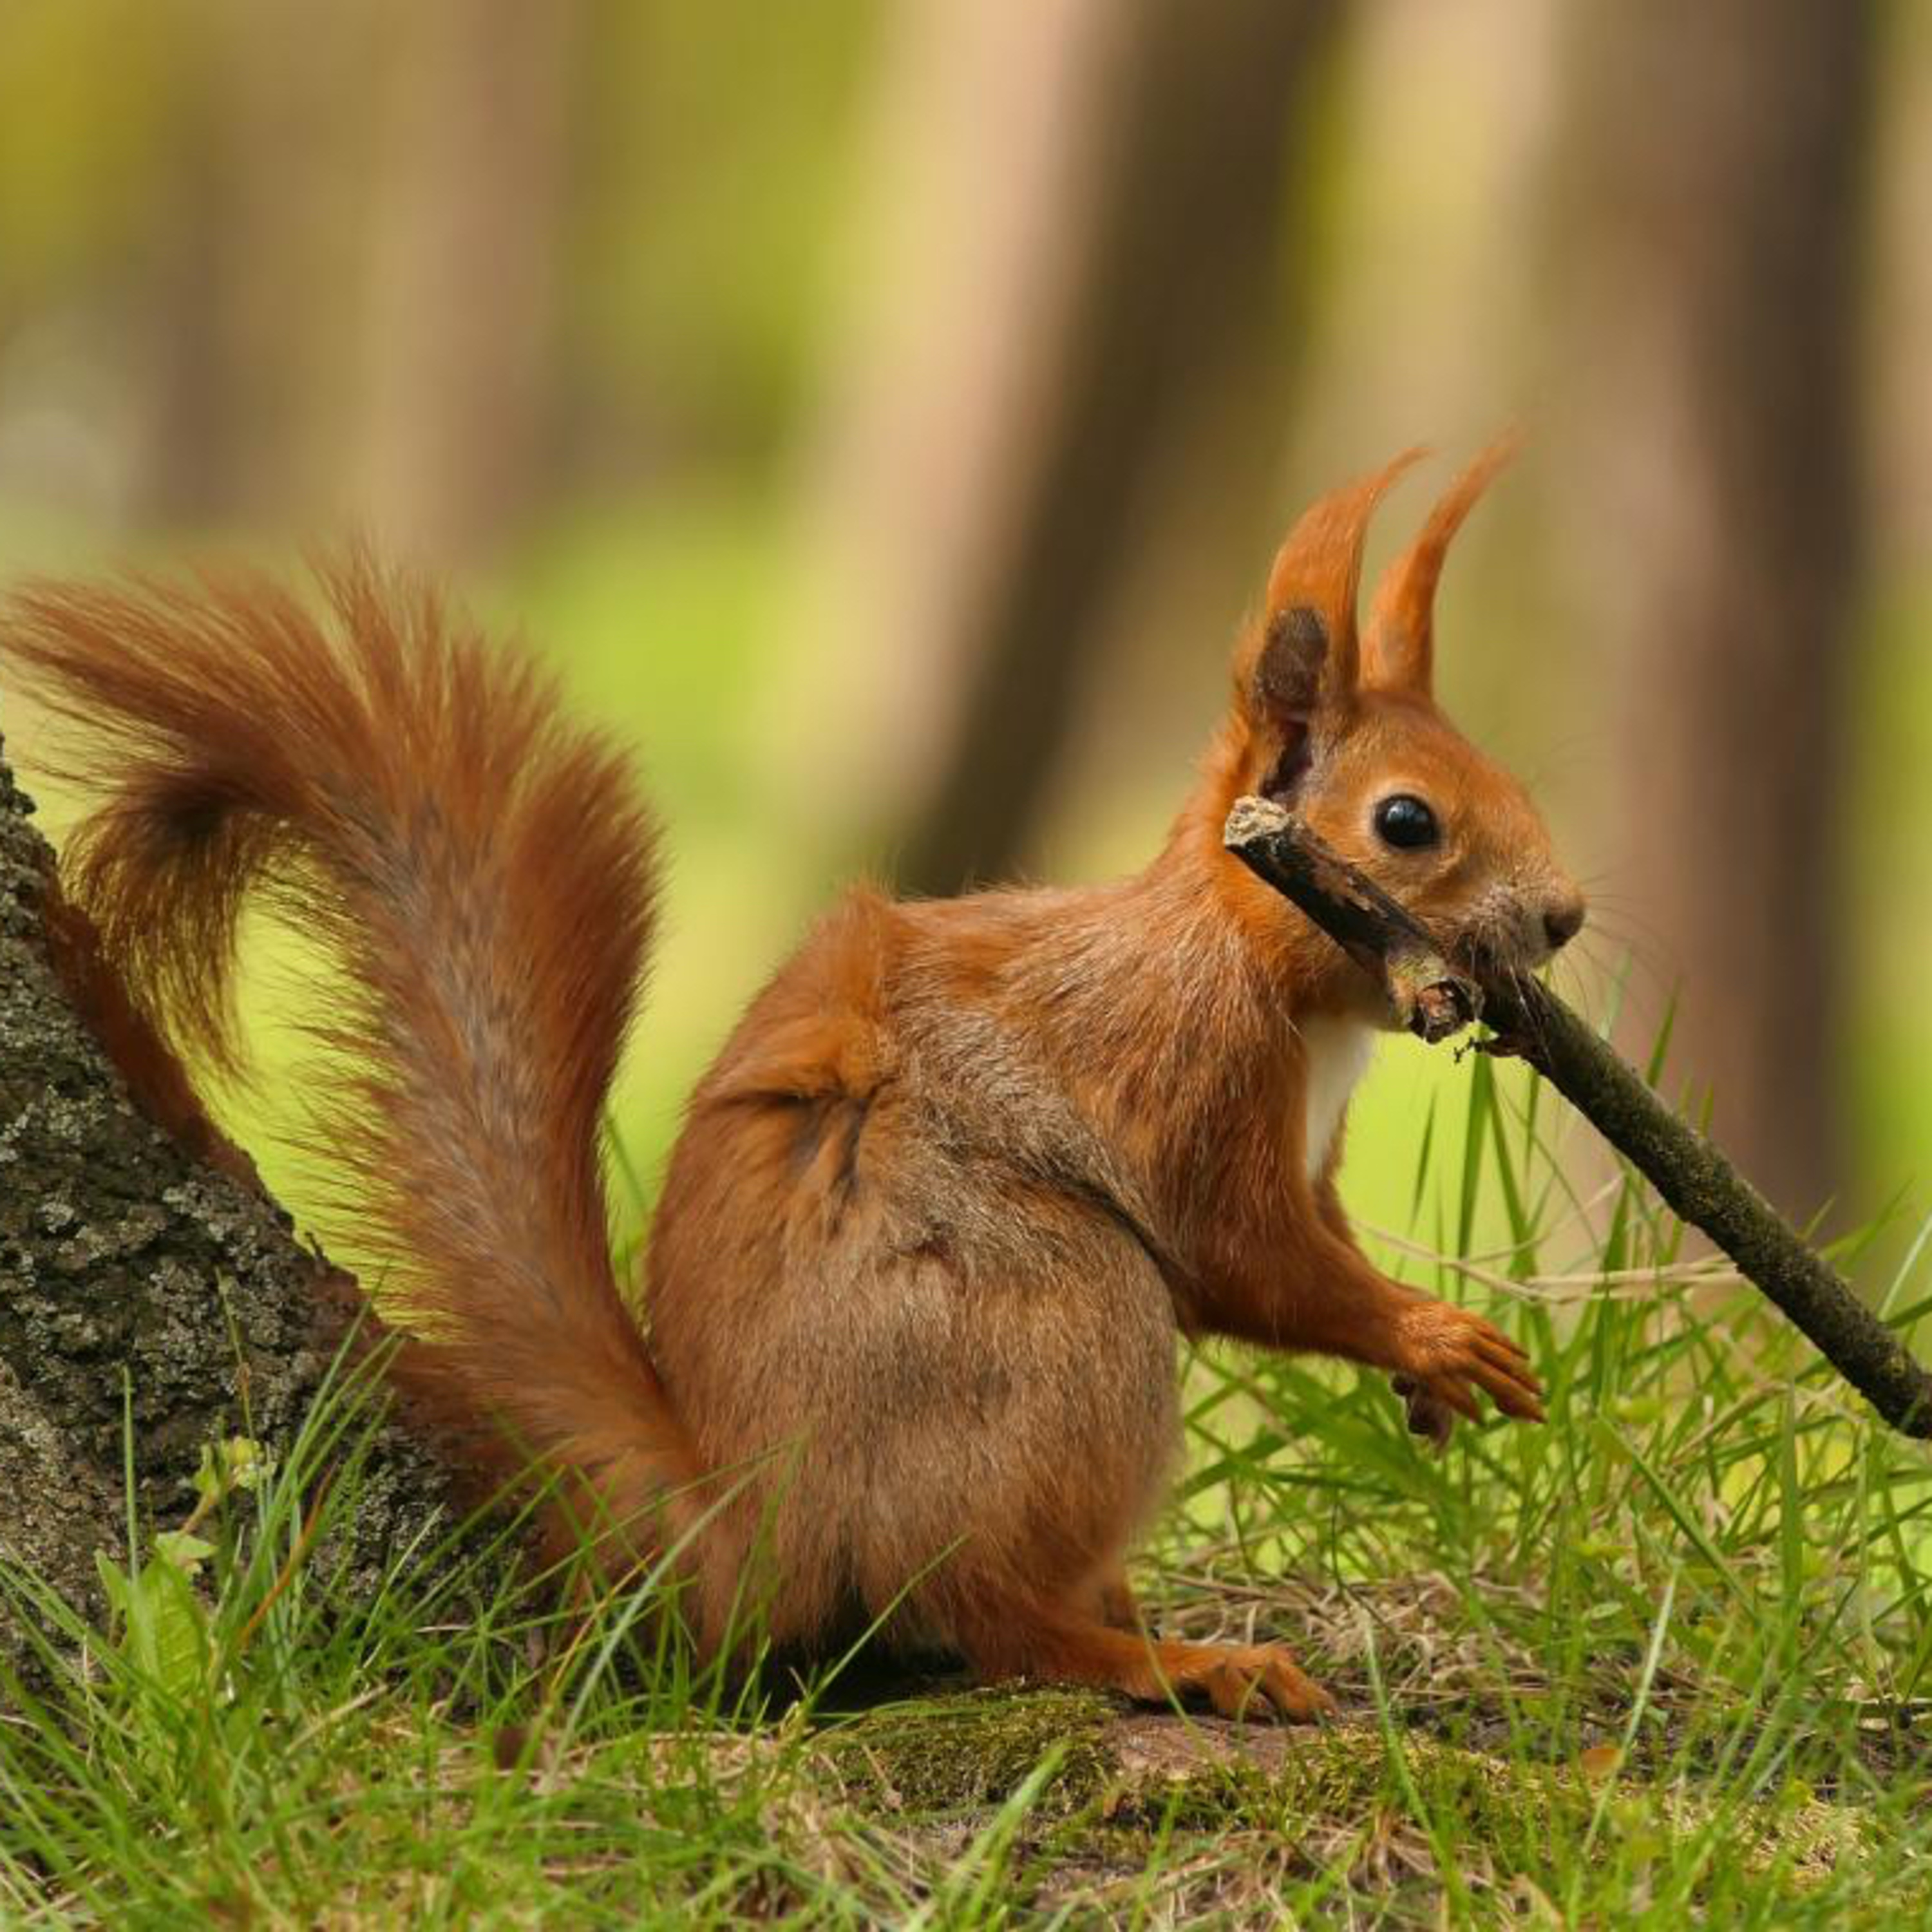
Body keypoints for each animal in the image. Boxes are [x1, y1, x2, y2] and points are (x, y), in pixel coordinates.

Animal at [0, 443, 1581, 1721]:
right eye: (1407, 823)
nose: (1565, 918)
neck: (1268, 971)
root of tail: (762, 1522)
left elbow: (1309, 1246)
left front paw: (1427, 1372)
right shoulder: (1182, 1074)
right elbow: (1246, 1261)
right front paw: (1434, 1337)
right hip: (1058, 1322)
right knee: (990, 1615)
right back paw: (1168, 1659)